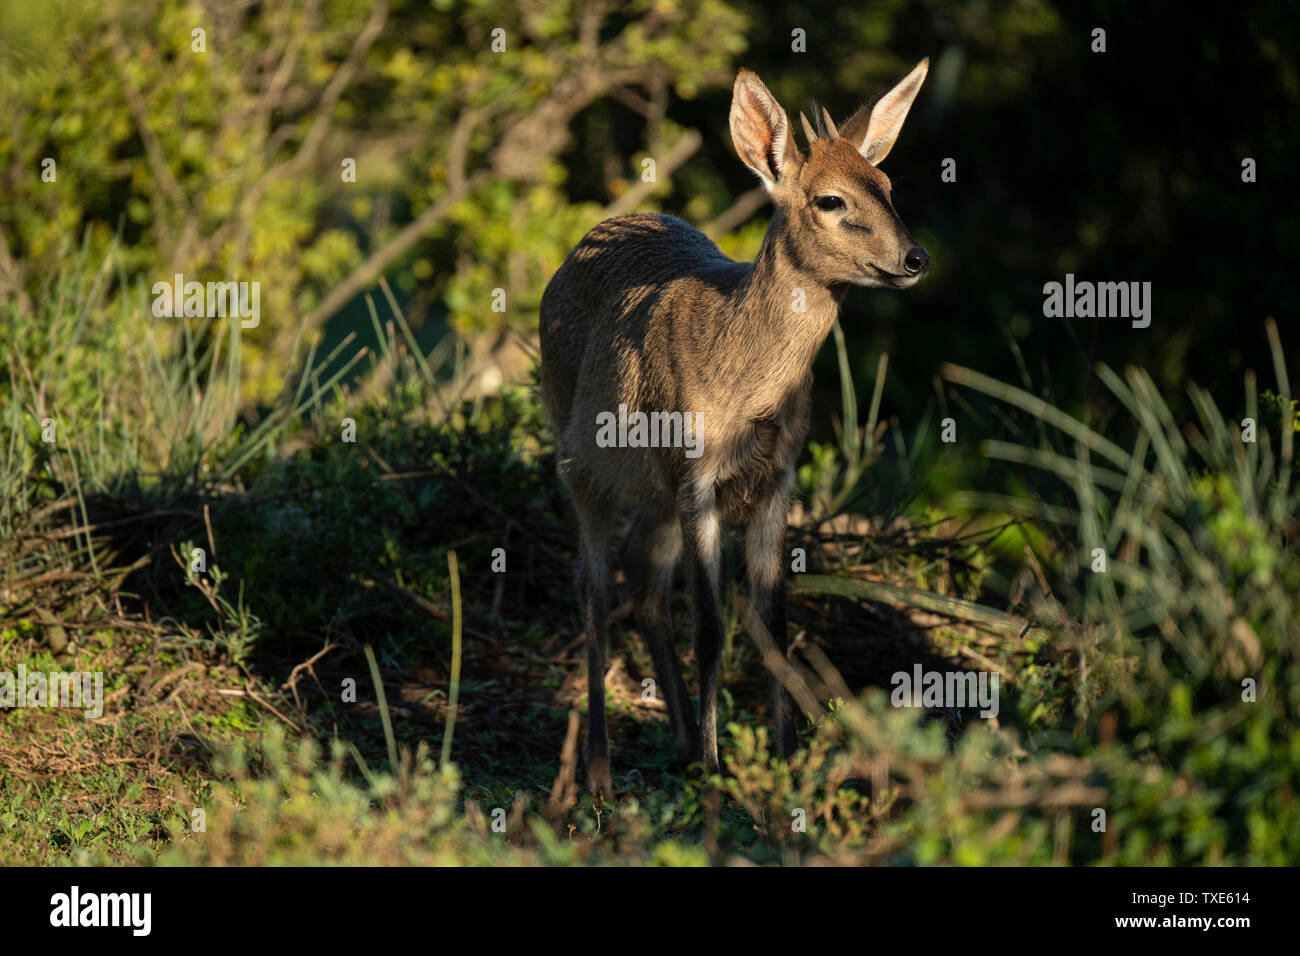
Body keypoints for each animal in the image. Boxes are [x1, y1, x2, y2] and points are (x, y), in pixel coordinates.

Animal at [540, 59, 935, 801]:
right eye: (831, 200)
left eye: (890, 187)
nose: (915, 258)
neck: (741, 378)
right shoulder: (697, 476)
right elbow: (712, 626)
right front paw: (716, 773)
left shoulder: (775, 480)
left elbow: (773, 623)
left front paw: (782, 760)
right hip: (580, 464)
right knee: (591, 587)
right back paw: (600, 773)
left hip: (654, 495)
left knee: (642, 579)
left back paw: (675, 741)